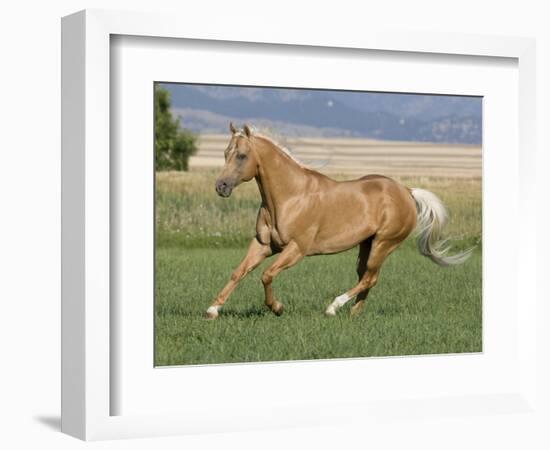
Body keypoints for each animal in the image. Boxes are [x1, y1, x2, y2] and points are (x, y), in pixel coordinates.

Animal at [205, 123, 472, 320]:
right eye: (225, 153)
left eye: (242, 156)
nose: (221, 187)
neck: (290, 196)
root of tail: (406, 191)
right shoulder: (263, 245)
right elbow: (238, 272)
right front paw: (212, 310)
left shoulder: (296, 249)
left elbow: (267, 275)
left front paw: (277, 308)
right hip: (367, 244)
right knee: (367, 278)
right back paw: (354, 313)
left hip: (384, 243)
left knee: (369, 278)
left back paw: (333, 307)